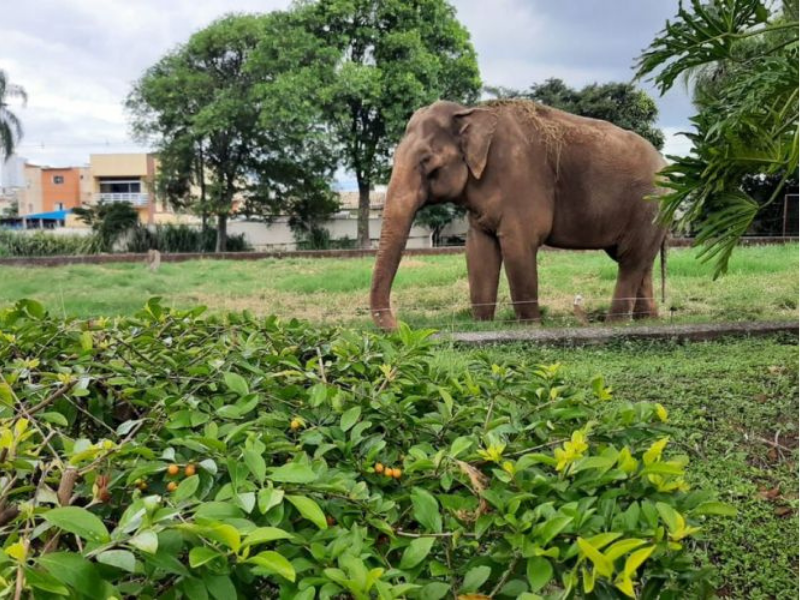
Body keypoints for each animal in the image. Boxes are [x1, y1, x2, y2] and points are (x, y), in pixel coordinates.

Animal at [369, 99, 669, 331]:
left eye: (427, 162)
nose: (401, 326)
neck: (471, 112)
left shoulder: (521, 180)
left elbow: (518, 247)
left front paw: (531, 326)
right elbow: (478, 250)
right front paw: (482, 325)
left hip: (649, 207)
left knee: (630, 260)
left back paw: (615, 323)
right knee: (639, 261)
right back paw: (646, 320)